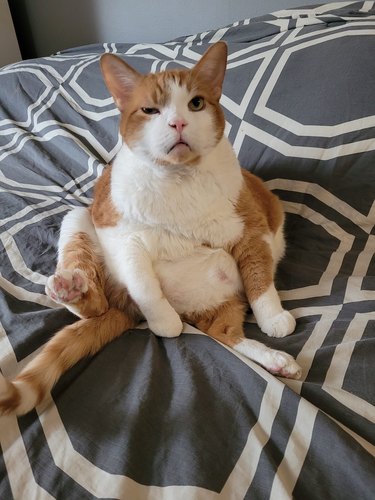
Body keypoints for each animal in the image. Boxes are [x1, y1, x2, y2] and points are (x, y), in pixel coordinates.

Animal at [0, 41, 302, 416]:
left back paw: (276, 360)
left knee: (225, 333)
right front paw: (165, 323)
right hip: (78, 220)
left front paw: (273, 319)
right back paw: (71, 288)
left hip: (224, 301)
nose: (178, 122)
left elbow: (261, 282)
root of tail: (124, 310)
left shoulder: (251, 228)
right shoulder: (120, 235)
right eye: (150, 110)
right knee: (98, 304)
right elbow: (144, 283)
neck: (179, 179)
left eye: (196, 103)